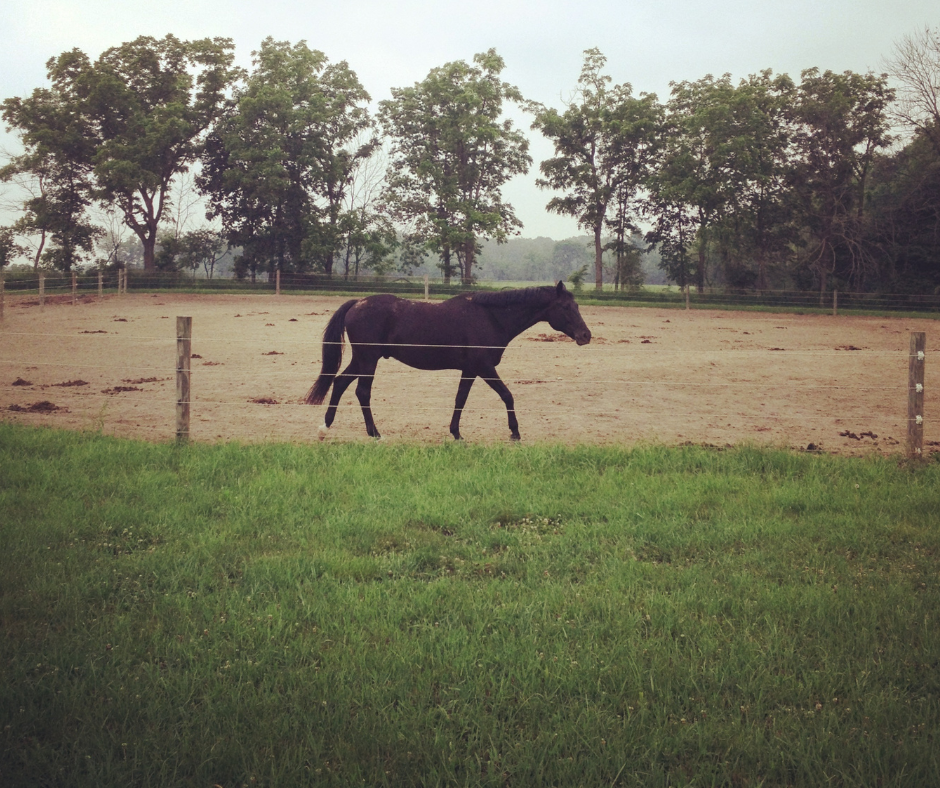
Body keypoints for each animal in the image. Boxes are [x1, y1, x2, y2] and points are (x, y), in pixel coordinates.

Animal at [305, 281, 592, 441]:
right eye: (566, 307)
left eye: (577, 306)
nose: (585, 335)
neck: (490, 317)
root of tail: (357, 303)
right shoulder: (484, 367)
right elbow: (507, 395)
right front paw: (514, 432)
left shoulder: (470, 370)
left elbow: (460, 399)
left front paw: (455, 432)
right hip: (368, 360)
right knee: (362, 392)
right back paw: (374, 433)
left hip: (362, 359)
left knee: (340, 383)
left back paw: (324, 428)